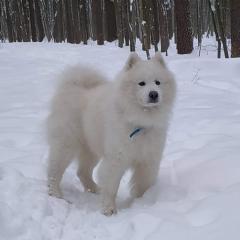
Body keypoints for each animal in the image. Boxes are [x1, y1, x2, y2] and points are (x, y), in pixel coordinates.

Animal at [47, 54, 175, 216]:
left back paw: (95, 189)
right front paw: (109, 209)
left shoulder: (149, 159)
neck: (140, 122)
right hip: (66, 144)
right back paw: (55, 193)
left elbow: (143, 184)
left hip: (91, 149)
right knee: (54, 169)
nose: (153, 94)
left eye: (158, 82)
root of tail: (74, 85)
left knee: (82, 172)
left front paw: (141, 202)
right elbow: (111, 186)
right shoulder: (116, 158)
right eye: (141, 83)